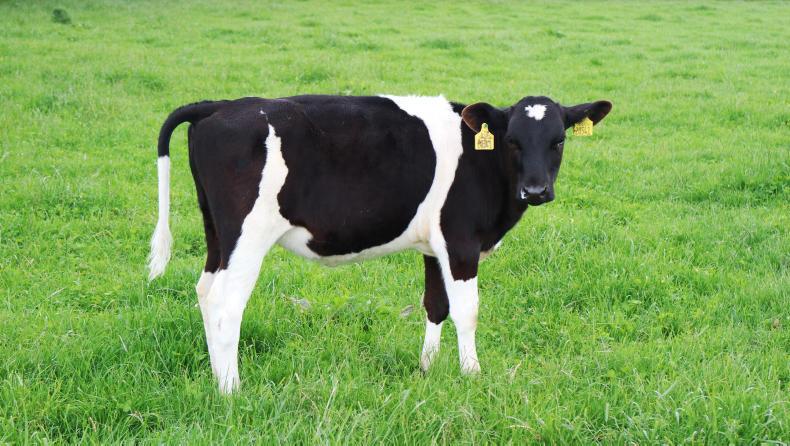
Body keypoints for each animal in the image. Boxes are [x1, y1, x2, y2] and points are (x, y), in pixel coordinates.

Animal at [148, 94, 612, 393]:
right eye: (513, 140)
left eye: (559, 139)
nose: (535, 190)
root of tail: (219, 106)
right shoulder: (460, 241)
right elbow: (467, 311)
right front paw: (472, 375)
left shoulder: (433, 246)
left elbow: (435, 305)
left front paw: (426, 369)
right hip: (247, 236)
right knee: (226, 305)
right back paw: (232, 390)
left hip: (216, 234)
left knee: (205, 292)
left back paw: (216, 377)